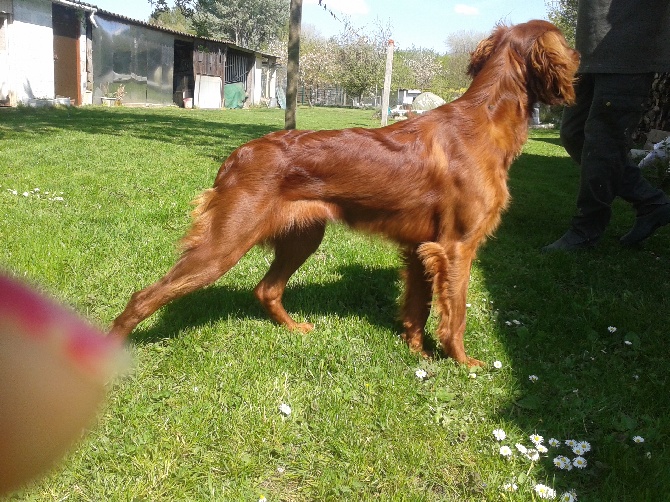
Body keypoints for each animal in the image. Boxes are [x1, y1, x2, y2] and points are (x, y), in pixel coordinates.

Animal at [109, 20, 576, 364]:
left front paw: (417, 353)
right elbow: (455, 312)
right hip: (224, 245)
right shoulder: (457, 246)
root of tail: (237, 155)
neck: (484, 121)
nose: (579, 61)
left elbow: (419, 306)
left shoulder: (421, 247)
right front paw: (463, 363)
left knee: (267, 289)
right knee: (142, 297)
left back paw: (295, 329)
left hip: (302, 236)